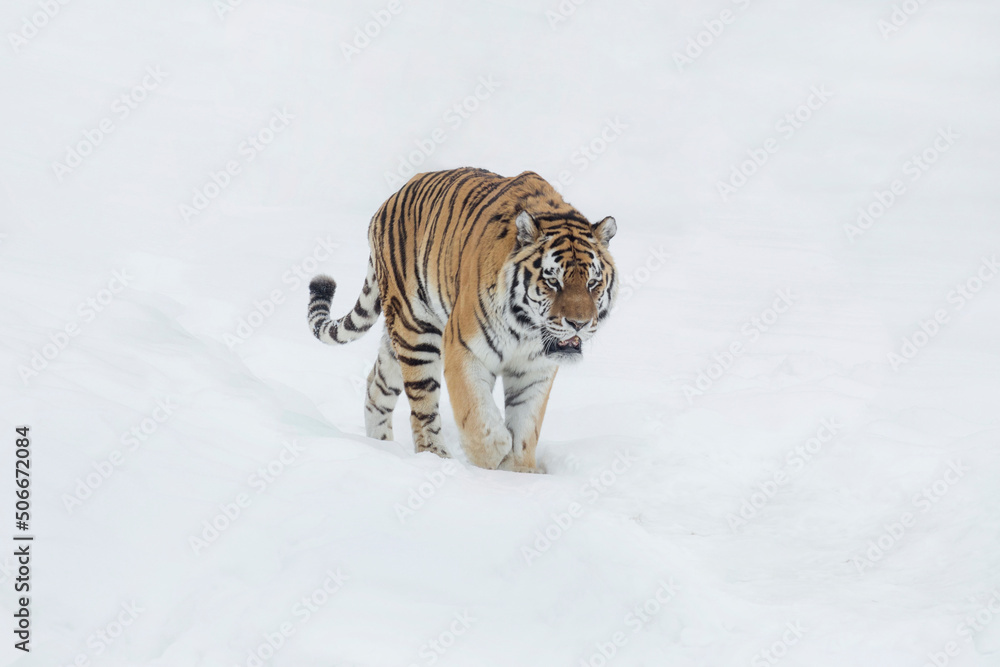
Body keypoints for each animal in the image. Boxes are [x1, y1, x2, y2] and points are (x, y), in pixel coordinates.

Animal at [307, 167, 618, 473]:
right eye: (553, 281)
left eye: (592, 283)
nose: (578, 323)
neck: (526, 329)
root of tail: (389, 201)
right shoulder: (464, 349)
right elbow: (477, 413)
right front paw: (494, 456)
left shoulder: (535, 369)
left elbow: (526, 426)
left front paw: (520, 471)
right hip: (416, 332)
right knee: (422, 410)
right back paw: (437, 459)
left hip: (397, 340)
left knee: (377, 385)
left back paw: (379, 447)